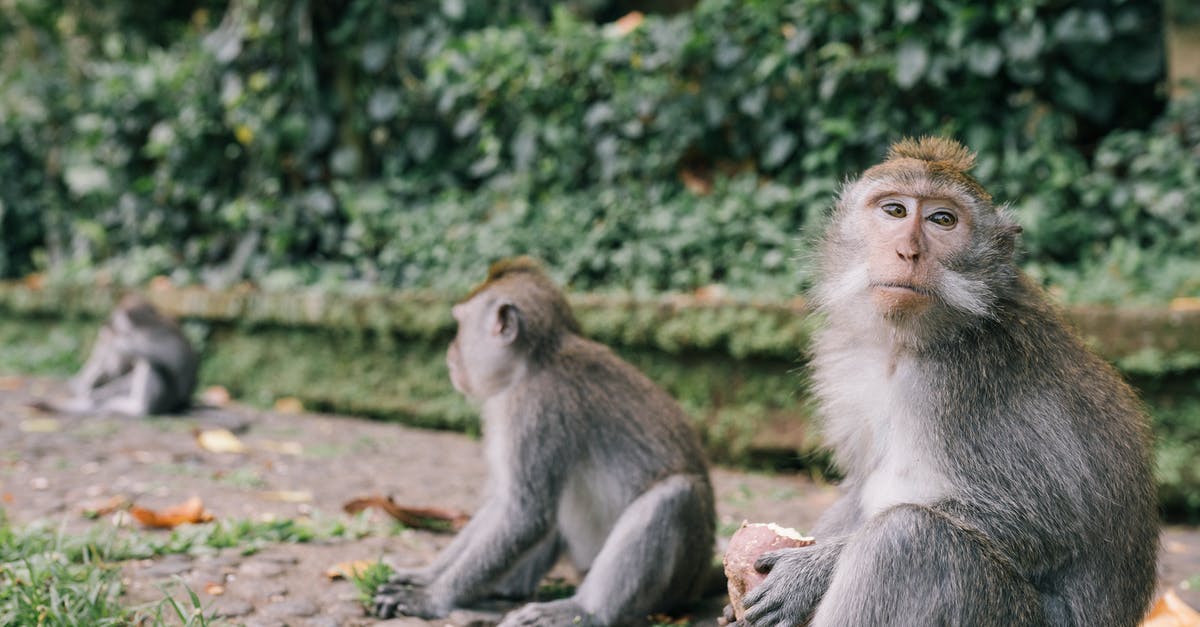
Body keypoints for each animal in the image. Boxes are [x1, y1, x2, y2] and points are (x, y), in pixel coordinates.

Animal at [35, 295, 196, 418]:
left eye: (116, 318)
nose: (109, 323)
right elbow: (114, 368)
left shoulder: (154, 335)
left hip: (166, 400)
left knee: (153, 364)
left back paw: (137, 409)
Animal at [369, 254, 715, 624]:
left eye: (460, 325)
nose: (450, 351)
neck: (533, 362)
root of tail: (698, 584)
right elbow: (505, 503)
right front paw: (425, 575)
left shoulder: (536, 409)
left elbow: (525, 515)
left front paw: (431, 597)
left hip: (679, 577)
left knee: (675, 495)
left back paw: (585, 611)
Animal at [734, 138, 1156, 624]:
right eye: (895, 211)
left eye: (942, 220)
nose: (908, 252)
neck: (909, 345)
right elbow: (857, 488)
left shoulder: (971, 378)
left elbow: (1041, 521)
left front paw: (809, 573)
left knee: (908, 539)